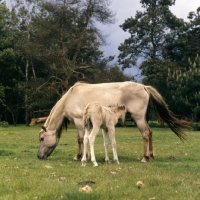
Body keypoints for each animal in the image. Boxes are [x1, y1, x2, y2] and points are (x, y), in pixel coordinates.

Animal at [37, 81, 189, 162]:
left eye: (42, 139)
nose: (39, 156)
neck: (70, 97)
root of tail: (144, 87)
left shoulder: (79, 121)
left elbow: (80, 139)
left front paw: (79, 156)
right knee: (150, 133)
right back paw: (151, 155)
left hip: (139, 118)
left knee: (146, 133)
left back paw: (145, 158)